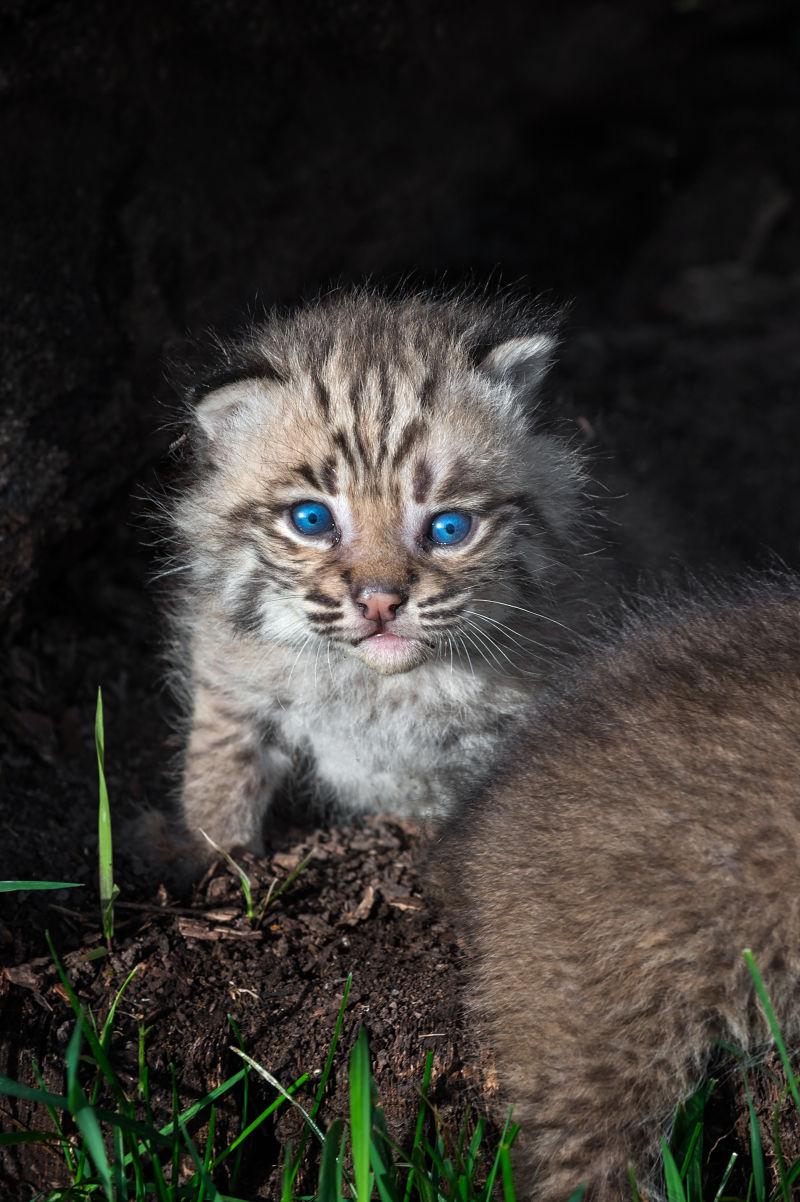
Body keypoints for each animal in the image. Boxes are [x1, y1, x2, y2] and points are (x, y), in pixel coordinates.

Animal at [168, 289, 648, 855]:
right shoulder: (229, 674)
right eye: (311, 520)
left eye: (449, 528)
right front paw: (213, 855)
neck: (384, 688)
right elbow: (220, 764)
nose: (380, 601)